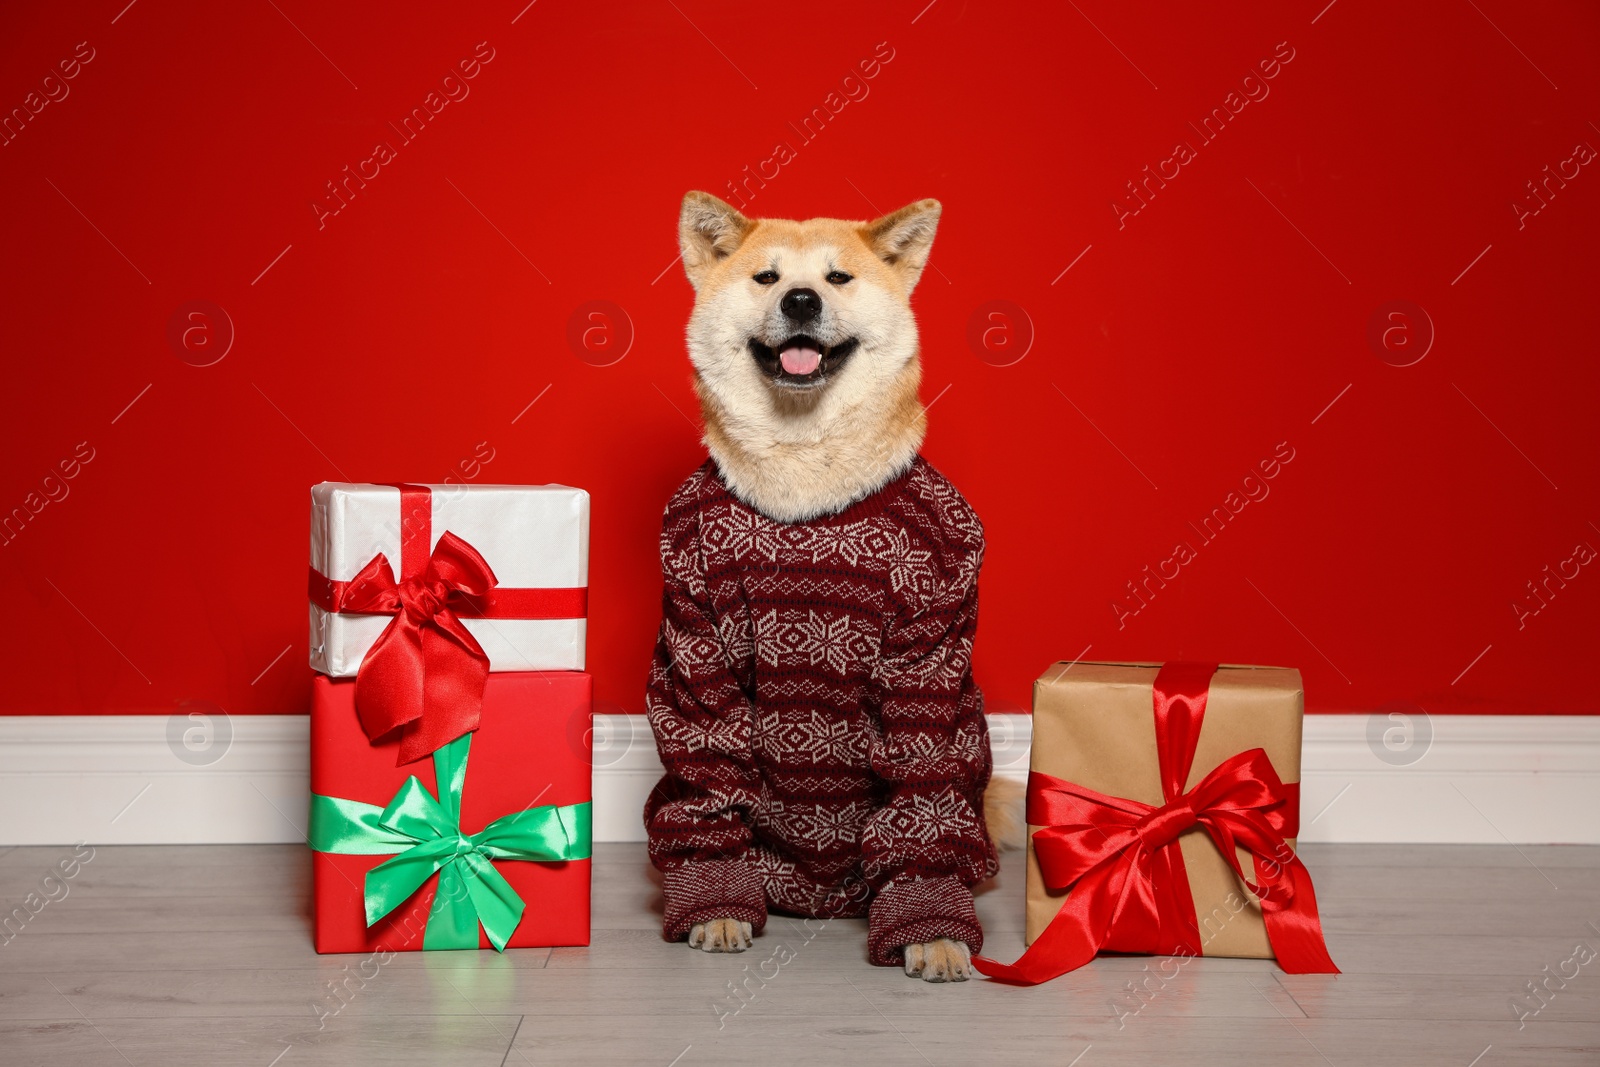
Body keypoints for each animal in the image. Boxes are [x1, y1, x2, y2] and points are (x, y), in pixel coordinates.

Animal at [643, 194, 1017, 985]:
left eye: (837, 277)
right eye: (767, 276)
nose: (801, 300)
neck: (805, 477)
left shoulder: (930, 639)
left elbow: (921, 786)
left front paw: (931, 928)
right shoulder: (695, 632)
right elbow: (708, 773)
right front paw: (716, 902)